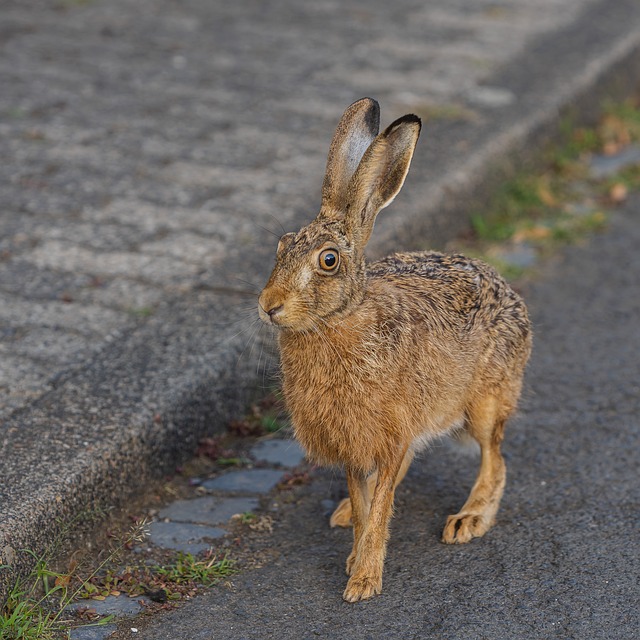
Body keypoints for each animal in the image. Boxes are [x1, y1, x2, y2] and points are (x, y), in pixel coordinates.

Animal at [258, 97, 532, 603]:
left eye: (328, 261)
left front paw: (363, 580)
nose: (269, 306)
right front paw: (355, 553)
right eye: (282, 246)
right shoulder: (351, 441)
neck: (337, 322)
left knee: (495, 457)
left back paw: (469, 519)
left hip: (486, 400)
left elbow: (382, 503)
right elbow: (367, 500)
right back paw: (345, 512)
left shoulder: (387, 431)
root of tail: (508, 290)